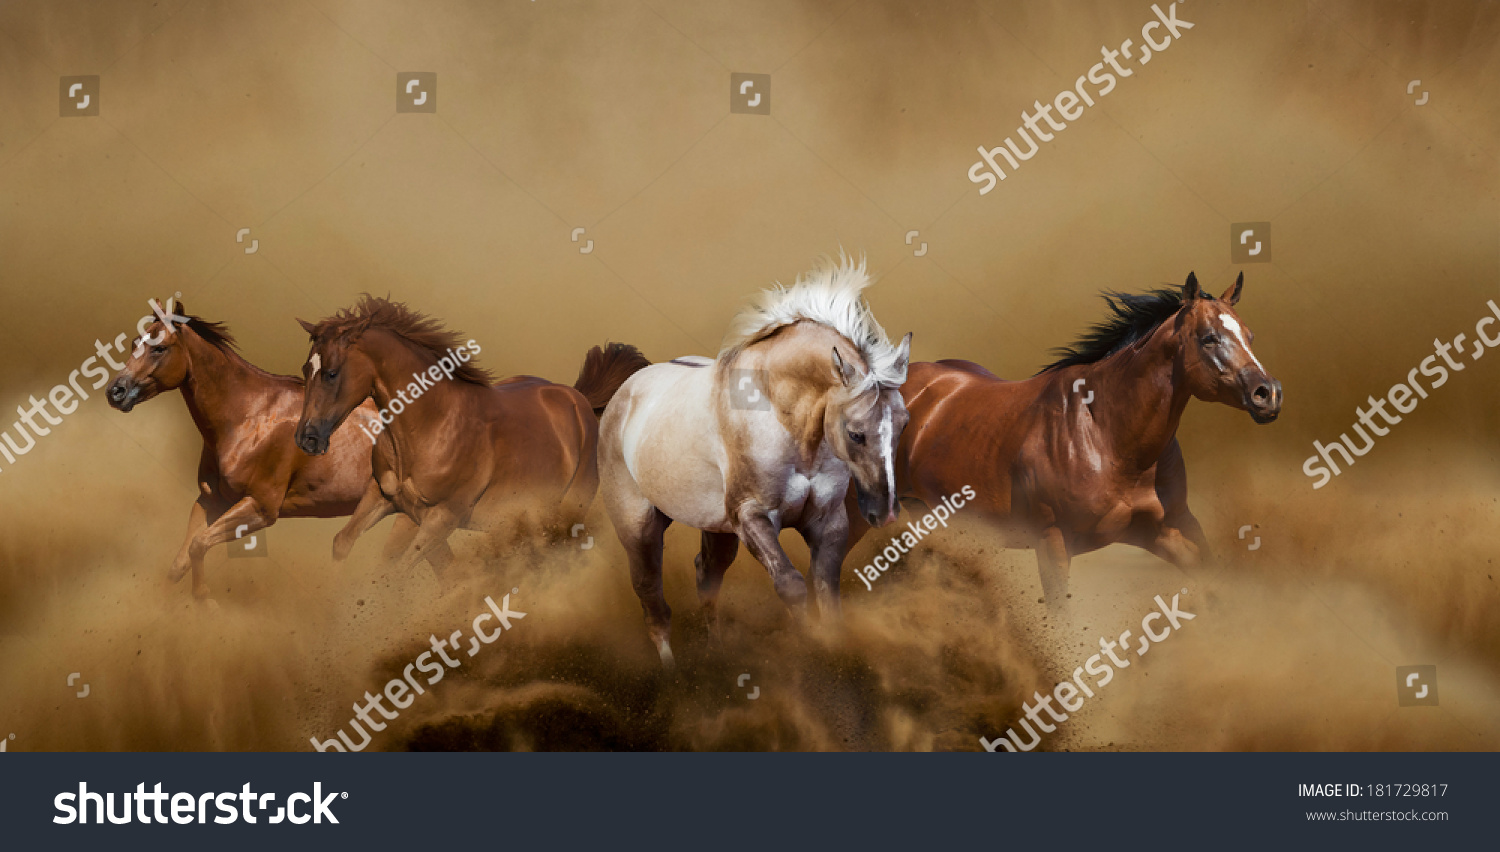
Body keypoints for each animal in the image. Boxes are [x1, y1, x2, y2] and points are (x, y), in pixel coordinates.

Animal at [106, 300, 393, 600]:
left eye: (159, 348)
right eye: (134, 342)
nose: (116, 391)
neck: (247, 417)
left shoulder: (260, 507)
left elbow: (198, 545)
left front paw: (206, 600)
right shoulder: (209, 501)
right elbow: (179, 564)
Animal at [292, 295, 645, 576]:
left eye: (332, 373)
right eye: (306, 369)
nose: (307, 438)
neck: (431, 425)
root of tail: (578, 400)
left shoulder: (442, 517)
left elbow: (397, 573)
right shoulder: (384, 497)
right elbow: (344, 543)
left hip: (565, 513)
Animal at [600, 256, 912, 669]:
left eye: (904, 423)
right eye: (855, 433)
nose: (885, 511)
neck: (784, 420)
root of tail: (622, 396)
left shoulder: (827, 522)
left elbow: (826, 591)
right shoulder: (752, 517)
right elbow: (792, 585)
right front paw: (812, 652)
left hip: (716, 529)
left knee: (706, 575)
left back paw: (717, 654)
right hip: (638, 524)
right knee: (650, 592)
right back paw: (671, 671)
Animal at [846, 270, 1278, 609]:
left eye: (1250, 335)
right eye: (1208, 338)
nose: (1268, 394)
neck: (1107, 436)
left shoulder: (1168, 531)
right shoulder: (1052, 543)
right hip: (859, 516)